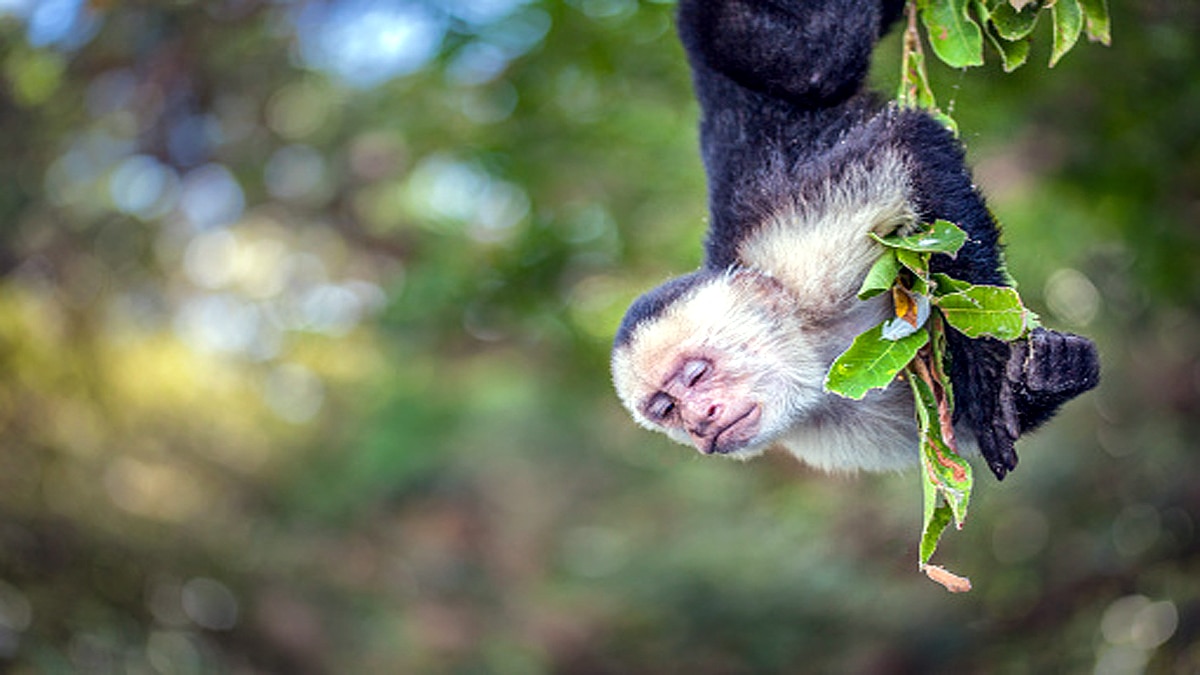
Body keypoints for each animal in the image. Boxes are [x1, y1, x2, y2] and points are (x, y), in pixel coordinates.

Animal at [610, 0, 1099, 480]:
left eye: (695, 374)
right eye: (666, 409)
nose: (699, 423)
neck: (815, 347)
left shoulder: (806, 258)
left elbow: (909, 138)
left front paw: (992, 376)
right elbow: (953, 430)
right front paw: (1046, 379)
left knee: (815, 64)